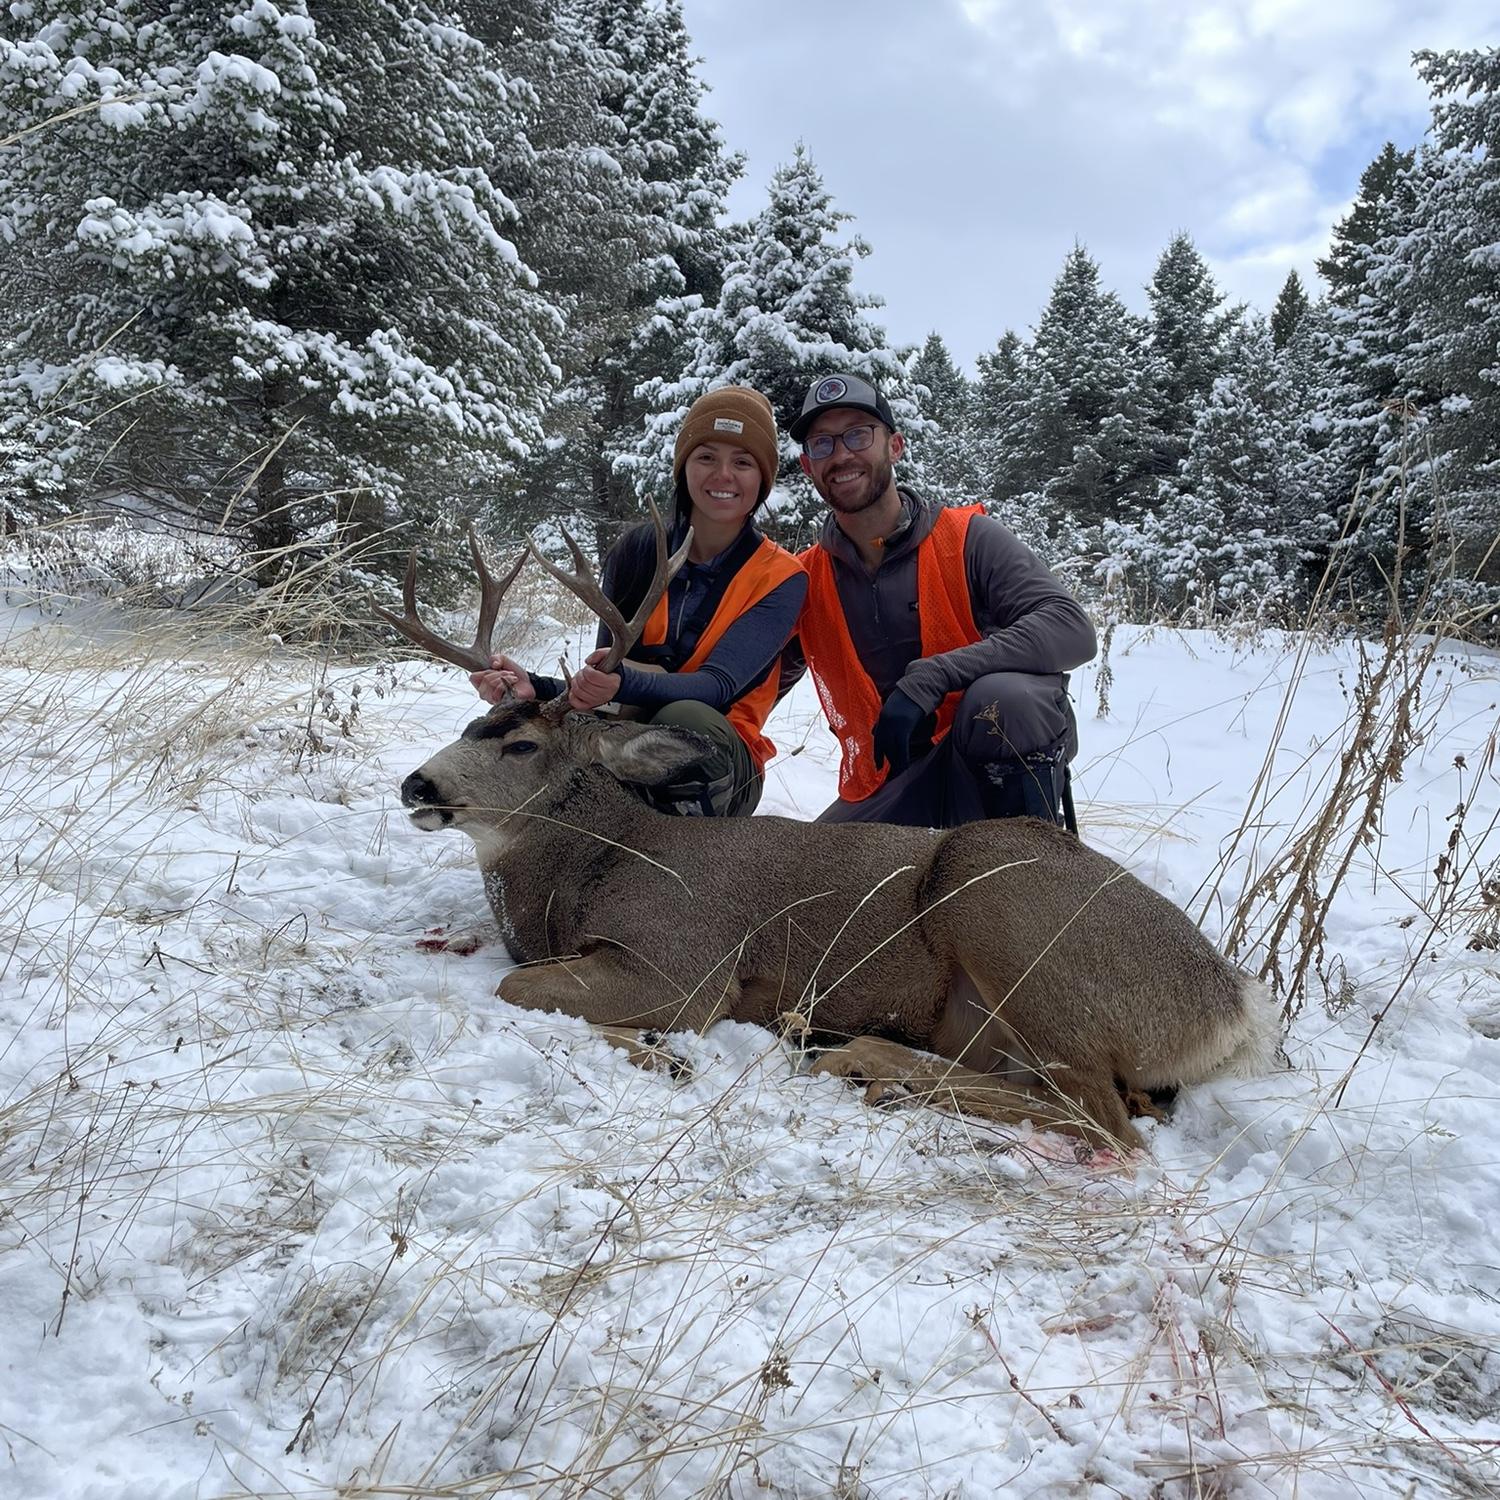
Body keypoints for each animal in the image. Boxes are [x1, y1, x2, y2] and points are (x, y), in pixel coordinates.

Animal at [382, 516, 1278, 1151]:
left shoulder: (683, 959)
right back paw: (864, 1061)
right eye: (472, 722)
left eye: (521, 745)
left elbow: (517, 989)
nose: (416, 785)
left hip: (1000, 900)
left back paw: (864, 1064)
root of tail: (1231, 1002)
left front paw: (662, 1051)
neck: (590, 870)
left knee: (1107, 1122)